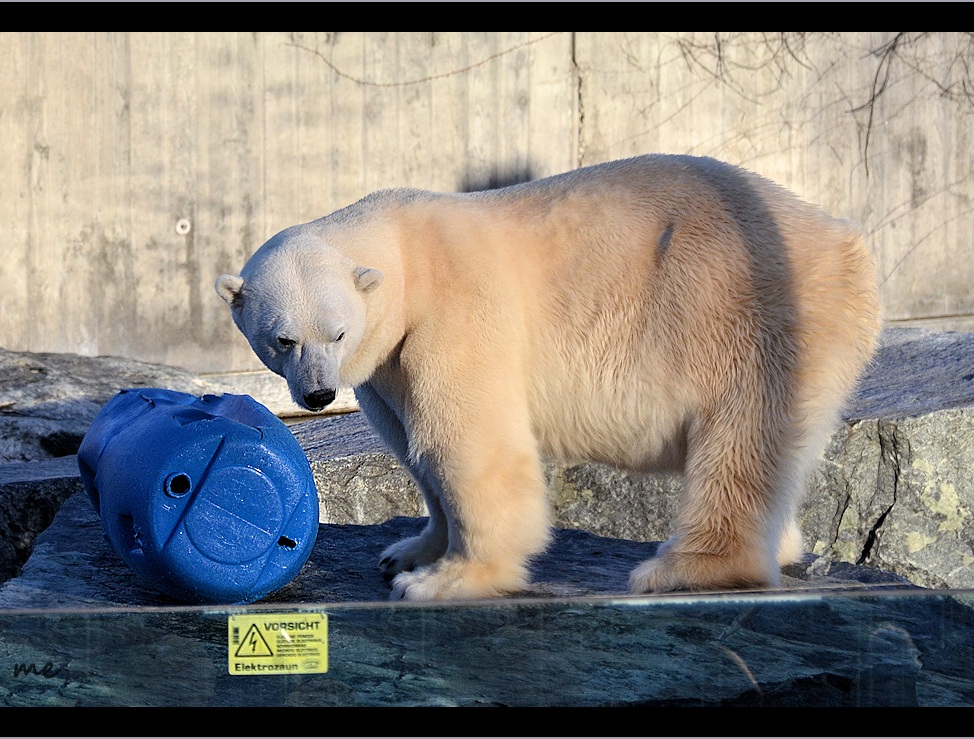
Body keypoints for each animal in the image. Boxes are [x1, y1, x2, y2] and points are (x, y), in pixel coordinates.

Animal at [219, 155, 884, 600]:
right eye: (283, 339)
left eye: (335, 333)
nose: (318, 393)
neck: (406, 252)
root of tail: (847, 239)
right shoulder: (389, 362)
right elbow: (411, 443)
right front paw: (408, 551)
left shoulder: (459, 310)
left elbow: (466, 441)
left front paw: (447, 579)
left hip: (749, 310)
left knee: (741, 436)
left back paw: (688, 566)